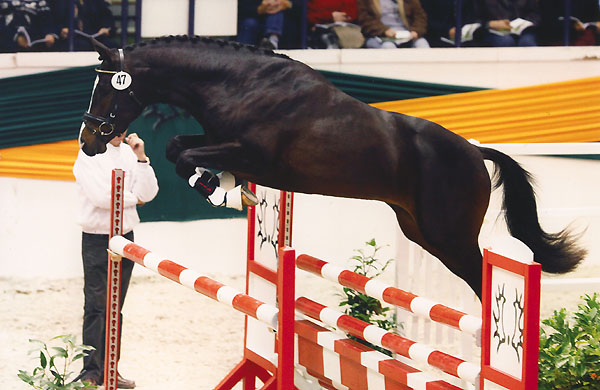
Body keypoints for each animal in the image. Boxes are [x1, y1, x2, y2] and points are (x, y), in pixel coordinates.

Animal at [77, 36, 584, 298]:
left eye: (107, 90)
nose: (87, 142)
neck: (239, 83)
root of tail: (476, 153)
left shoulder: (252, 154)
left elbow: (184, 154)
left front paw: (222, 190)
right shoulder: (221, 141)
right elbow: (178, 146)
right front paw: (227, 189)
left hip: (450, 235)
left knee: (481, 278)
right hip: (420, 230)